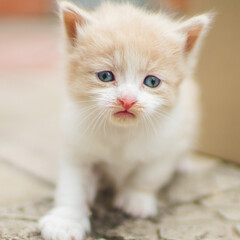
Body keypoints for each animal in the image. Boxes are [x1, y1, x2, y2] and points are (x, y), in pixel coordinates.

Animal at [39, 0, 212, 239]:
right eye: (105, 76)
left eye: (152, 81)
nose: (127, 100)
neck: (121, 132)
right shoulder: (77, 148)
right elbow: (72, 186)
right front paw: (65, 221)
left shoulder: (168, 143)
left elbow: (148, 175)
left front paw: (136, 200)